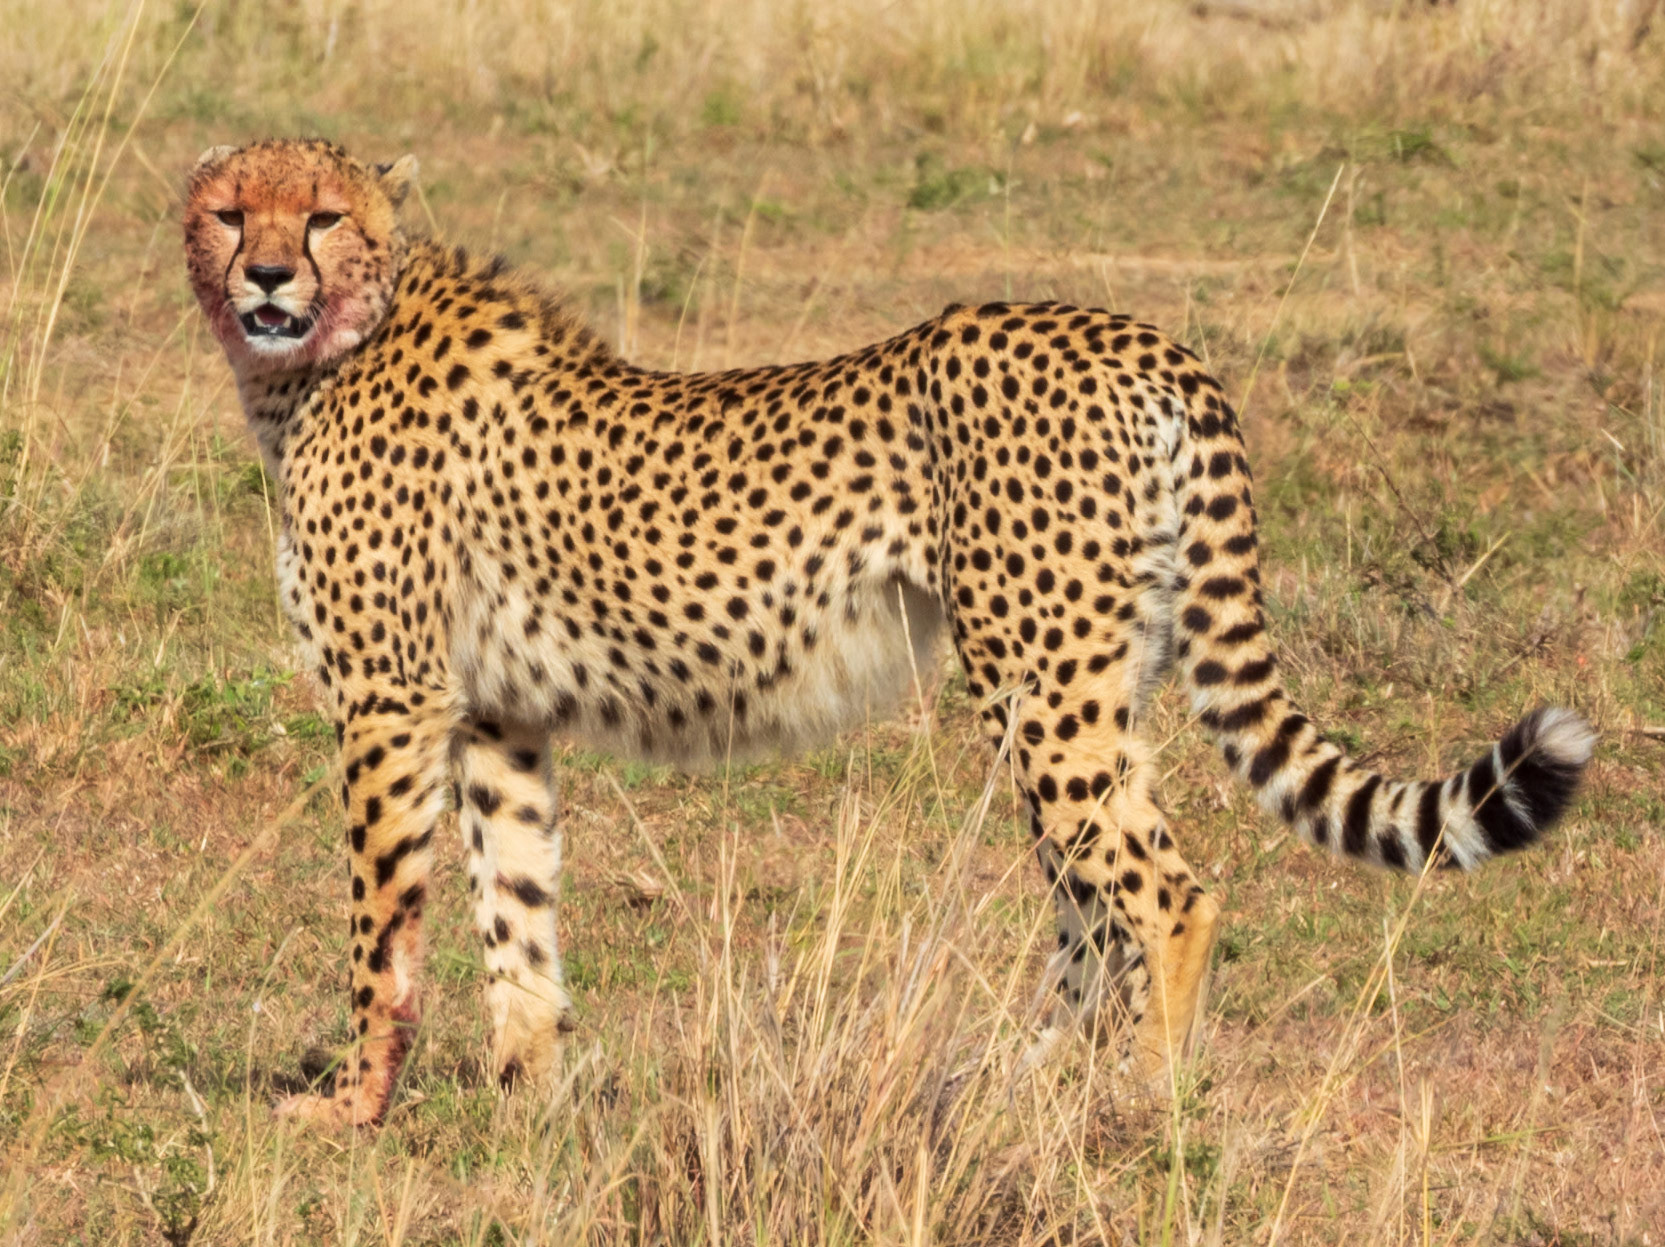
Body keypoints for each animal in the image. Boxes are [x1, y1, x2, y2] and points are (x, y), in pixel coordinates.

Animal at [183, 138, 1596, 1128]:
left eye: (322, 215)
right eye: (230, 211)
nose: (267, 274)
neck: (329, 351)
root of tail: (1138, 334)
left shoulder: (389, 700)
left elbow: (381, 924)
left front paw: (353, 1106)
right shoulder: (495, 711)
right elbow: (515, 909)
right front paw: (532, 1096)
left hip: (1037, 682)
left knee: (1164, 890)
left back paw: (1145, 1102)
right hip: (1091, 680)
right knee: (1089, 905)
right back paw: (1022, 1086)